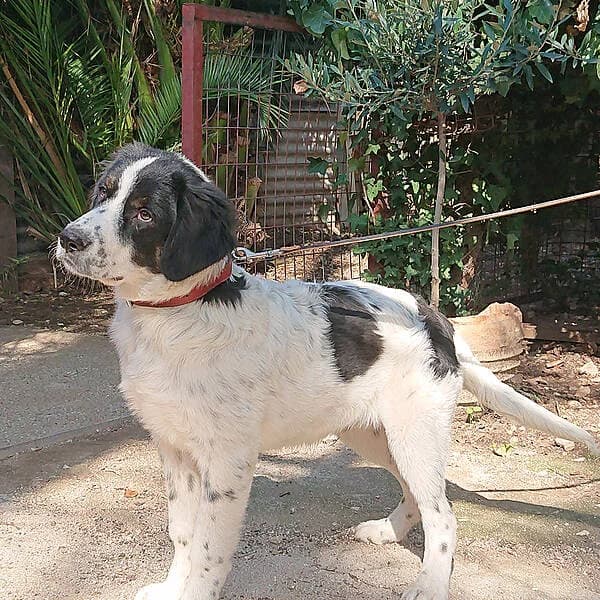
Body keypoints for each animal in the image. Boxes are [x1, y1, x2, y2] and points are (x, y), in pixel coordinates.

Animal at [56, 143, 599, 600]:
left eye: (144, 214)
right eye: (103, 192)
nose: (67, 239)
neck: (179, 313)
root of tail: (432, 318)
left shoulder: (227, 461)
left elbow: (209, 548)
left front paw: (193, 593)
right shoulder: (174, 448)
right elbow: (183, 533)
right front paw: (173, 589)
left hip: (415, 432)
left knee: (443, 514)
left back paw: (429, 585)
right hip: (373, 433)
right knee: (417, 493)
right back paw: (388, 531)